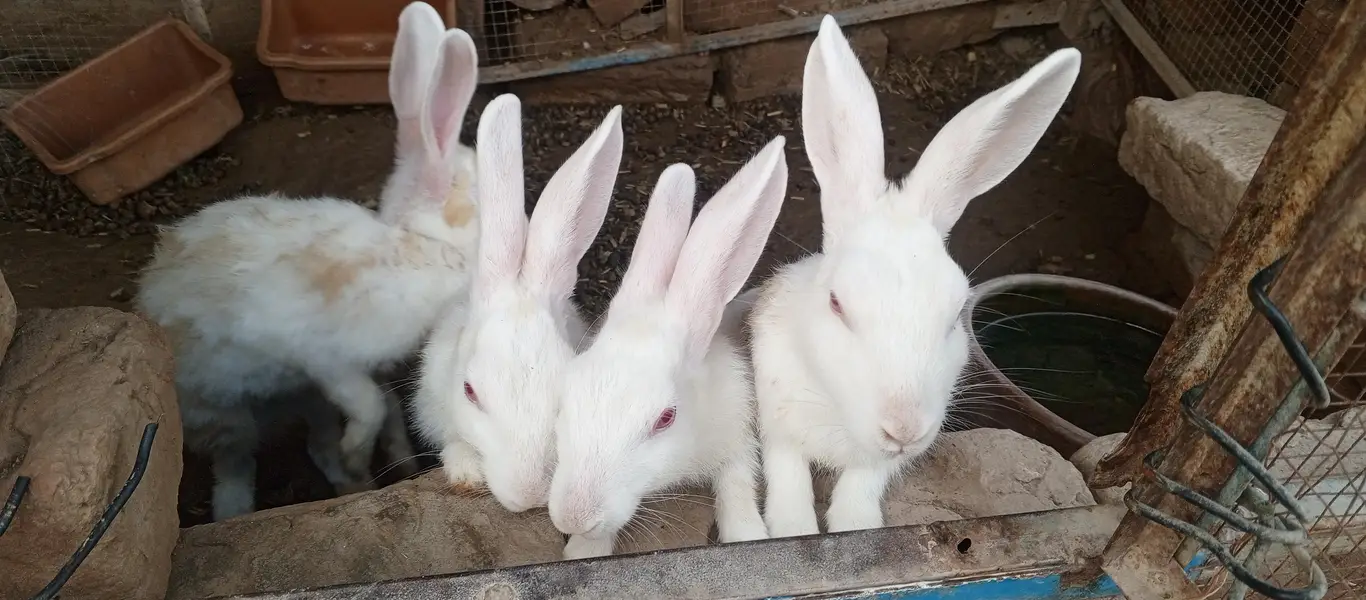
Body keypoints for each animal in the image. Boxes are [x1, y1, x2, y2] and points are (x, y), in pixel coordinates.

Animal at [134, 4, 481, 522]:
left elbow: (390, 411)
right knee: (235, 467)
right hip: (226, 415)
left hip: (301, 397)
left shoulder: (360, 370)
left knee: (316, 447)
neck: (418, 244)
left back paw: (351, 483)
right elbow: (371, 407)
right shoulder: (327, 361)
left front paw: (397, 463)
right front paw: (362, 456)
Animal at [548, 136, 789, 560]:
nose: (573, 517)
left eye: (665, 419)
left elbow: (737, 485)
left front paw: (748, 534)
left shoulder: (738, 436)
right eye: (566, 399)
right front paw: (583, 549)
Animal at [750, 15, 1082, 537]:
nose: (904, 428)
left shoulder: (882, 459)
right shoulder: (776, 422)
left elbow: (862, 485)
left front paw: (855, 524)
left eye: (955, 315)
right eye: (837, 304)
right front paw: (791, 528)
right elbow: (788, 479)